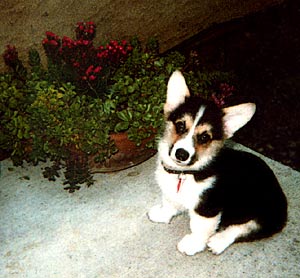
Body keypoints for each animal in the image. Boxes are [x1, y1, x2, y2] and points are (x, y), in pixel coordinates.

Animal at [149, 70, 288, 255]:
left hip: (266, 215)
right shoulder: (171, 194)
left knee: (245, 228)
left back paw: (218, 241)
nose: (181, 154)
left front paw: (192, 244)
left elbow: (199, 228)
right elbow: (169, 204)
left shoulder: (207, 208)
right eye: (180, 126)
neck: (185, 173)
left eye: (204, 137)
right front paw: (161, 214)